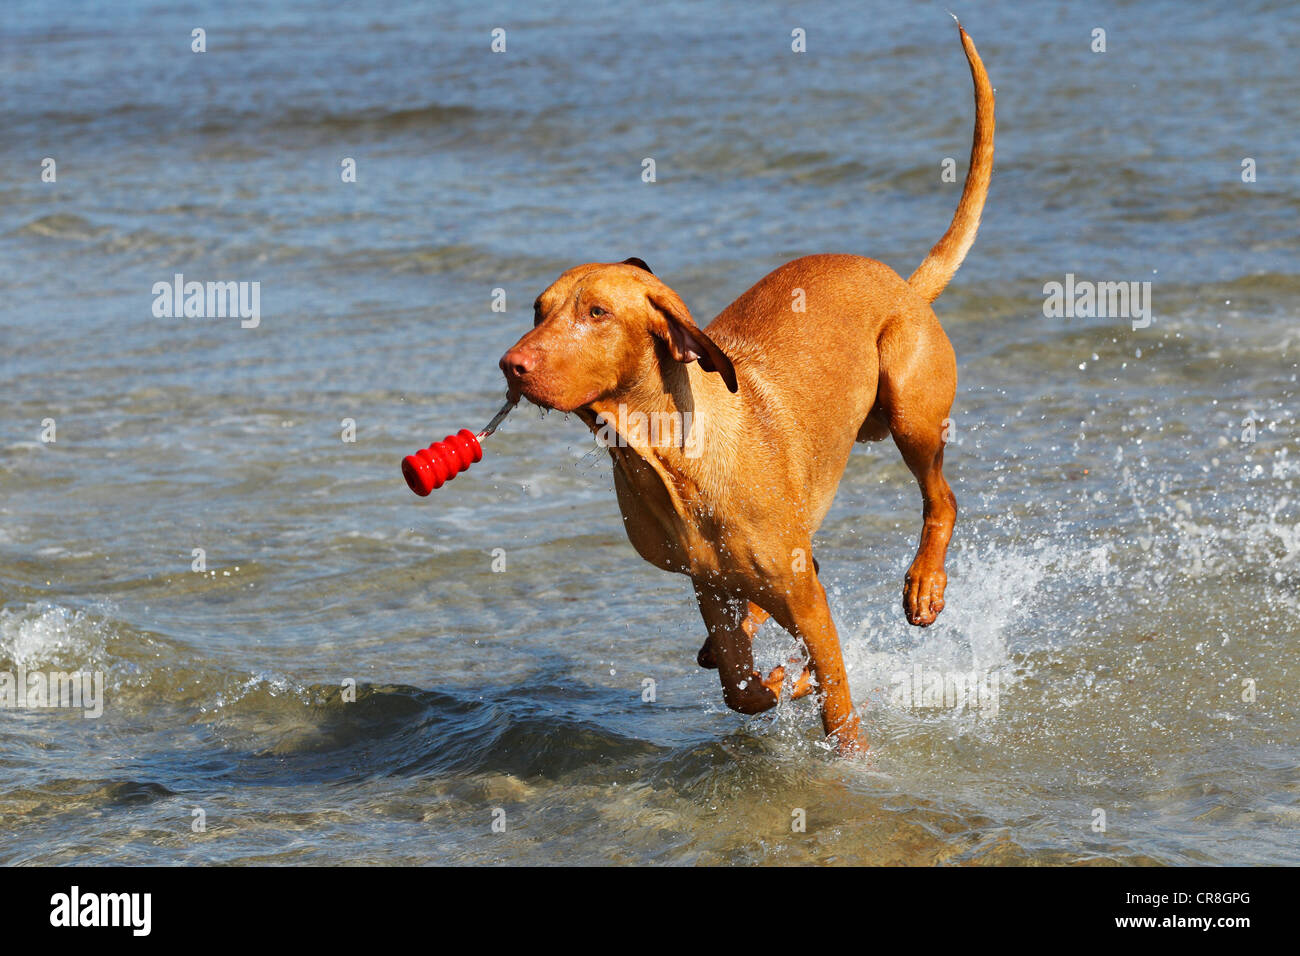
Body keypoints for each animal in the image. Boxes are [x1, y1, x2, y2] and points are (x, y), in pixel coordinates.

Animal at [499, 24, 993, 754]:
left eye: (597, 313)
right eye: (539, 309)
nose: (512, 364)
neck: (665, 460)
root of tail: (902, 284)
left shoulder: (803, 596)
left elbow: (836, 698)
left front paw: (843, 743)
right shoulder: (709, 584)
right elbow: (740, 685)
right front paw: (773, 680)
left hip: (910, 408)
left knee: (944, 497)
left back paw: (925, 584)